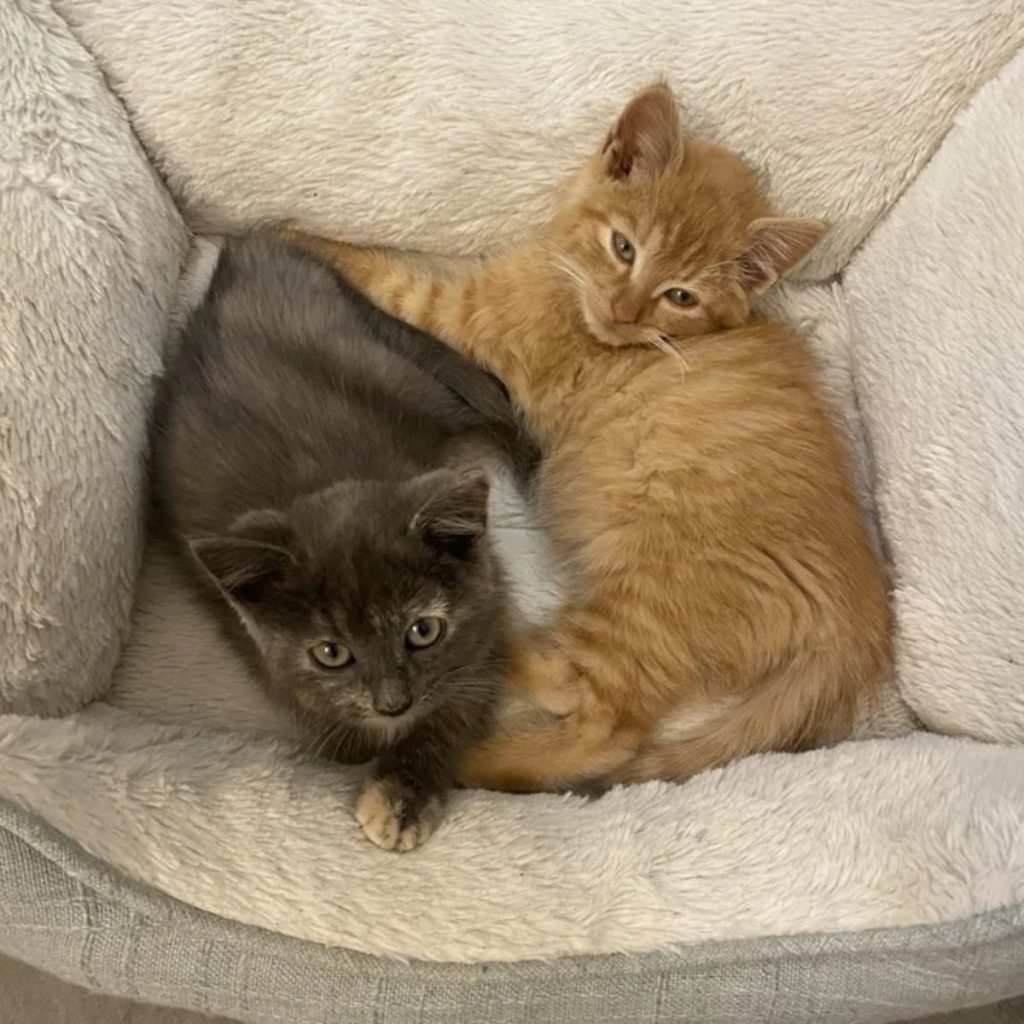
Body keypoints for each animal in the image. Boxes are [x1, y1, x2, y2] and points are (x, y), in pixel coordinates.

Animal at [155, 235, 528, 851]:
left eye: (423, 631)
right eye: (331, 653)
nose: (392, 703)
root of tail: (247, 252)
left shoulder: (488, 618)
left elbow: (455, 707)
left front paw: (401, 795)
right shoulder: (264, 654)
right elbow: (327, 723)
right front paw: (361, 745)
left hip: (411, 380)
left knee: (496, 397)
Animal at [284, 86, 892, 790]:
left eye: (680, 296)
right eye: (624, 248)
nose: (625, 312)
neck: (574, 295)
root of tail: (858, 615)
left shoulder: (468, 316)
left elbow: (391, 280)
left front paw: (287, 232)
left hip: (644, 598)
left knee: (607, 722)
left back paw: (485, 733)